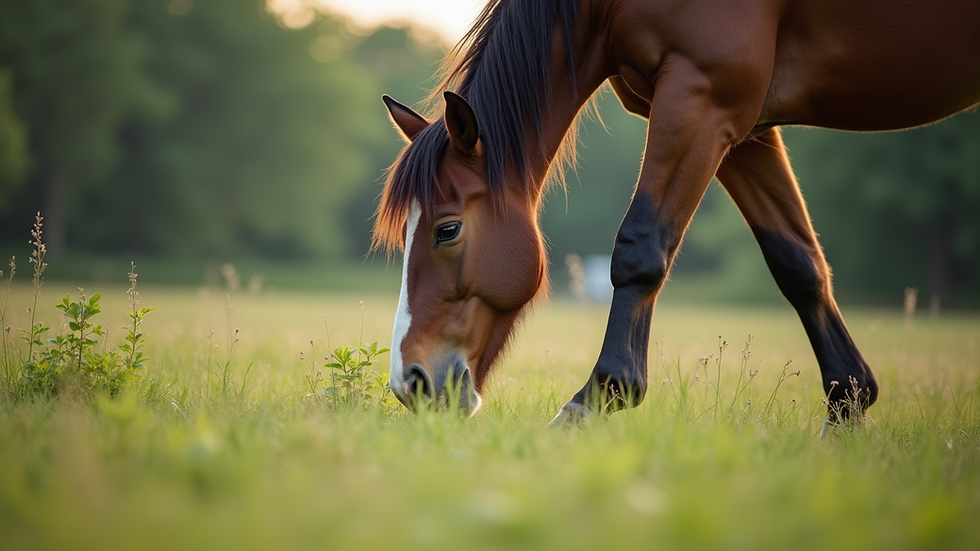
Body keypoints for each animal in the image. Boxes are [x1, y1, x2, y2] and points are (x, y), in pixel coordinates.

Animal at [372, 0, 980, 425]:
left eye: (447, 230)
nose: (410, 381)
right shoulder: (745, 128)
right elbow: (798, 263)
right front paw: (847, 404)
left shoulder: (701, 95)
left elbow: (640, 246)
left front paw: (598, 398)